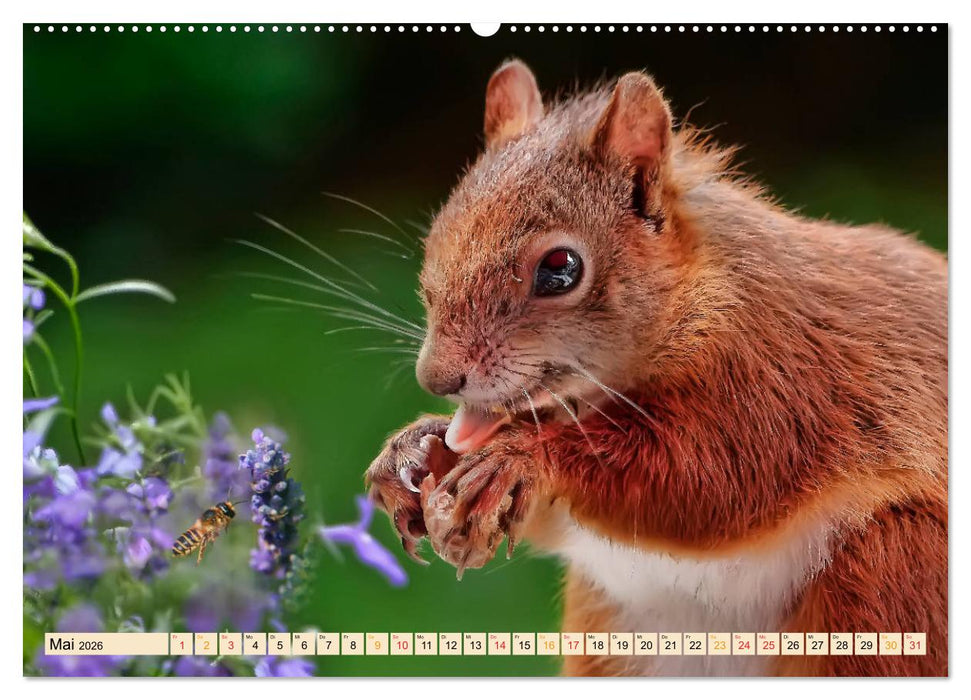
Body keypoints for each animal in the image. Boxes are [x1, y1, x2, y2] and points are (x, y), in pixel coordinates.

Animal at [364, 59, 947, 677]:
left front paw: (523, 455)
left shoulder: (783, 374)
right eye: (436, 238)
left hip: (889, 571)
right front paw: (413, 448)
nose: (436, 378)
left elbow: (715, 478)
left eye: (560, 268)